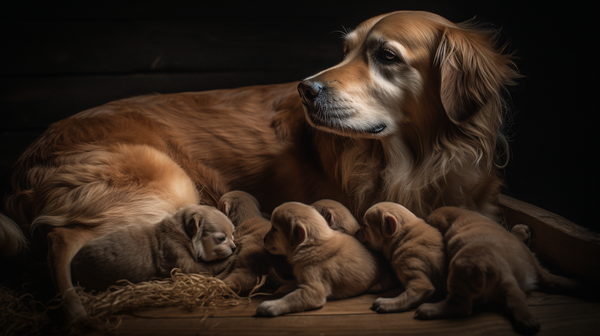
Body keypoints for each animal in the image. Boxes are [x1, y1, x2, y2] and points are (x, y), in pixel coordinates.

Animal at [71, 203, 236, 292]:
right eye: (221, 238)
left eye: (233, 234)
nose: (234, 247)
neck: (184, 234)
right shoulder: (187, 265)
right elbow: (211, 266)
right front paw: (231, 258)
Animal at [256, 202, 394, 318]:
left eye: (274, 229)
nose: (263, 239)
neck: (314, 244)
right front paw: (283, 287)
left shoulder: (314, 289)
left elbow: (292, 298)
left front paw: (271, 305)